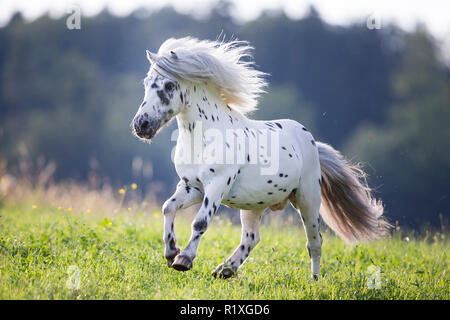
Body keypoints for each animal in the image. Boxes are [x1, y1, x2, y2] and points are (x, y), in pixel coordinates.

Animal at [131, 36, 390, 278]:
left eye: (169, 85)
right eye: (146, 83)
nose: (141, 125)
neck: (206, 135)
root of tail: (312, 142)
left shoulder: (215, 186)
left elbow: (200, 222)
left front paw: (183, 260)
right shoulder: (192, 187)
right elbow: (168, 207)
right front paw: (170, 253)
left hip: (307, 199)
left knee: (314, 242)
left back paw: (314, 282)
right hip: (253, 204)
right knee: (252, 237)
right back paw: (225, 270)